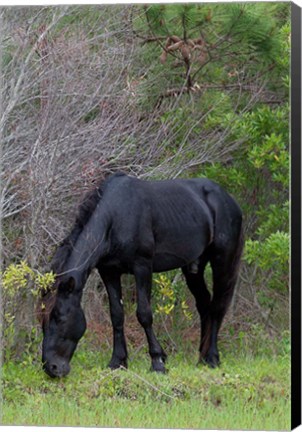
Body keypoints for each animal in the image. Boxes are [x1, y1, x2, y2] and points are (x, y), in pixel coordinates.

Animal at [39, 173, 243, 378]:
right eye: (42, 320)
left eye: (59, 318)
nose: (51, 368)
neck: (116, 216)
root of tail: (229, 200)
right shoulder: (109, 272)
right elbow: (116, 315)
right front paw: (117, 361)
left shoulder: (142, 267)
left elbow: (144, 314)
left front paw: (158, 361)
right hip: (194, 268)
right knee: (204, 304)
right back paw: (201, 358)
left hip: (222, 261)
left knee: (217, 307)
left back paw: (212, 358)